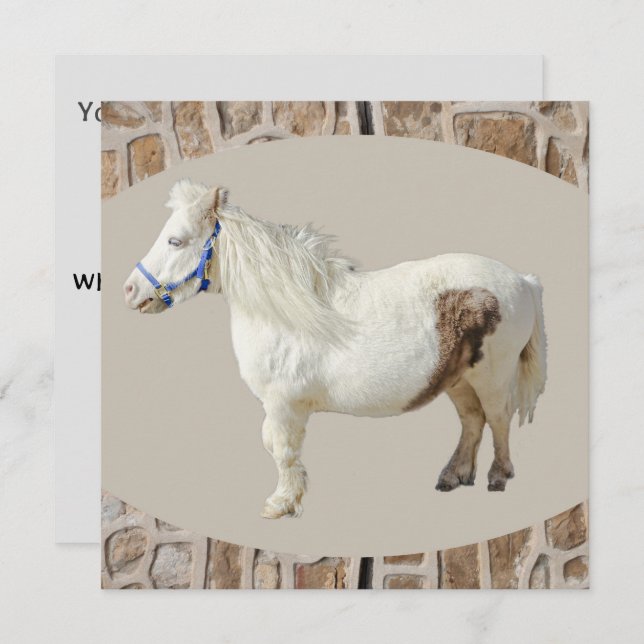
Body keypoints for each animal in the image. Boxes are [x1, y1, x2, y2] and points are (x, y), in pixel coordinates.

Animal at [123, 179, 547, 519]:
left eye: (175, 240)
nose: (130, 290)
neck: (285, 310)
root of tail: (522, 281)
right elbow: (276, 447)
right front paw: (290, 498)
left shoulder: (282, 405)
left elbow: (280, 449)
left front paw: (280, 504)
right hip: (458, 379)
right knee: (472, 421)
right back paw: (454, 476)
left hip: (492, 376)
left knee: (499, 419)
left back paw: (498, 476)